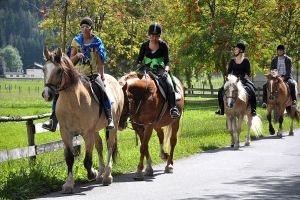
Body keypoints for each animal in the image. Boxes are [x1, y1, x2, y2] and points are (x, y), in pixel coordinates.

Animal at [41, 47, 123, 193]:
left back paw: (107, 176)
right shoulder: (66, 134)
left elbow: (87, 160)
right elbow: (69, 158)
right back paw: (101, 173)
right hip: (95, 130)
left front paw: (92, 173)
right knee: (100, 145)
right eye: (44, 69)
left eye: (59, 70)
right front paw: (68, 184)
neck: (74, 102)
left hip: (113, 125)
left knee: (110, 145)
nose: (47, 95)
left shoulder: (87, 133)